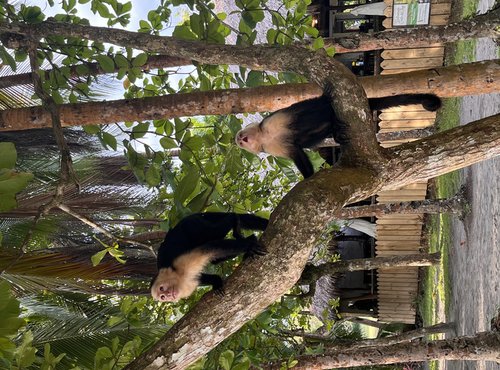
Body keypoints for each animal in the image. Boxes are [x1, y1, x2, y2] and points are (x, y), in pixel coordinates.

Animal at [235, 90, 442, 178]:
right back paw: (337, 133)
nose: (239, 140)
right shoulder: (272, 147)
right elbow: (297, 152)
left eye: (240, 138)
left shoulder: (271, 123)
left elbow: (301, 116)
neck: (264, 136)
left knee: (319, 109)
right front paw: (308, 176)